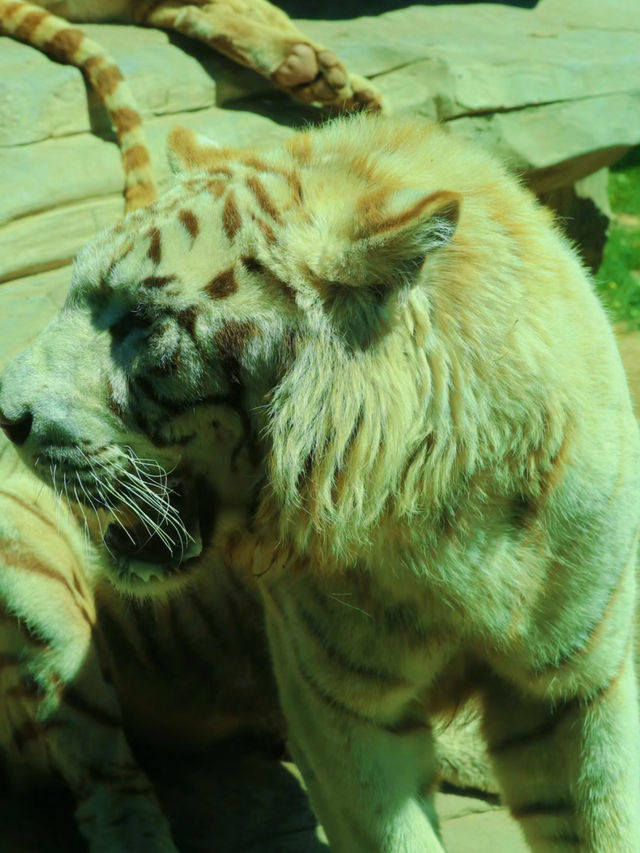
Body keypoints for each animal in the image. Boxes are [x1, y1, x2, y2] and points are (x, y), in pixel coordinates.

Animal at [0, 111, 636, 844]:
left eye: (140, 320)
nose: (6, 415)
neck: (439, 506)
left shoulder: (575, 682)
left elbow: (605, 821)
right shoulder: (343, 709)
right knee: (107, 782)